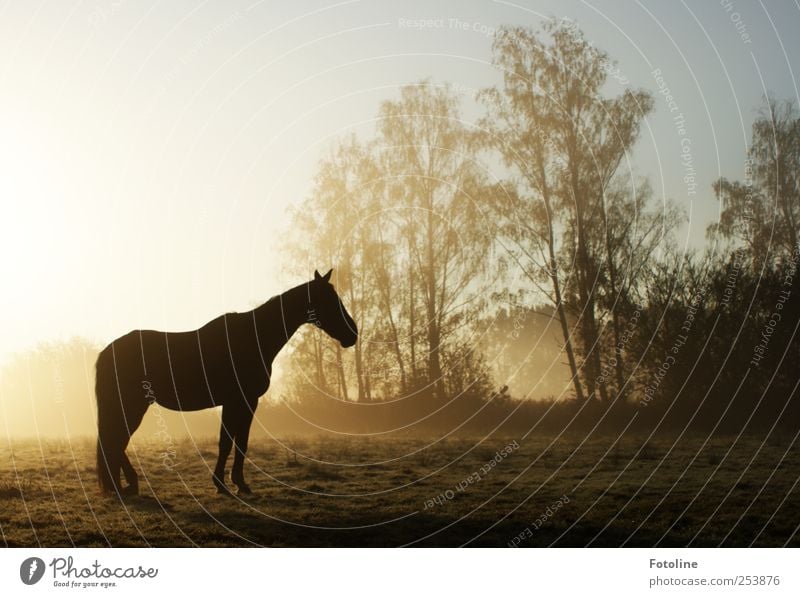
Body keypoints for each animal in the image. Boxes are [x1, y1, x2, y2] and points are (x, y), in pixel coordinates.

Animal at [94, 268, 356, 496]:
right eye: (330, 300)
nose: (352, 334)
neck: (254, 337)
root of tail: (107, 352)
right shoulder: (241, 401)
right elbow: (230, 443)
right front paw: (230, 483)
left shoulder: (241, 403)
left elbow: (236, 442)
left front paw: (232, 482)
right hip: (132, 405)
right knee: (115, 440)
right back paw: (127, 484)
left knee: (114, 441)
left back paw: (123, 485)